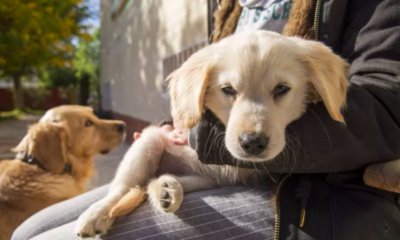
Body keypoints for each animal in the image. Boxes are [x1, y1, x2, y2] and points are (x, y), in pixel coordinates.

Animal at [74, 30, 346, 238]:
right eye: (228, 90)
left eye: (282, 89)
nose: (252, 144)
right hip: (149, 142)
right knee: (122, 188)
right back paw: (97, 213)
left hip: (208, 178)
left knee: (153, 181)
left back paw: (166, 189)